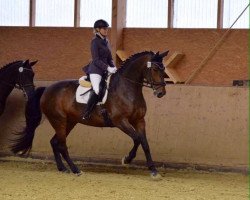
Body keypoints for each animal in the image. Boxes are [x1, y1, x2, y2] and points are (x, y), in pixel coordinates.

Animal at [11, 50, 168, 179]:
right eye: (155, 69)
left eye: (164, 69)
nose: (161, 93)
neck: (127, 88)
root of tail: (47, 89)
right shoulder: (120, 121)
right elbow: (137, 139)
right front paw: (127, 159)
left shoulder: (139, 120)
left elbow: (145, 143)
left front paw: (153, 171)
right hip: (59, 120)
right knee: (62, 145)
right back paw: (75, 170)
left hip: (69, 122)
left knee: (54, 142)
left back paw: (63, 168)